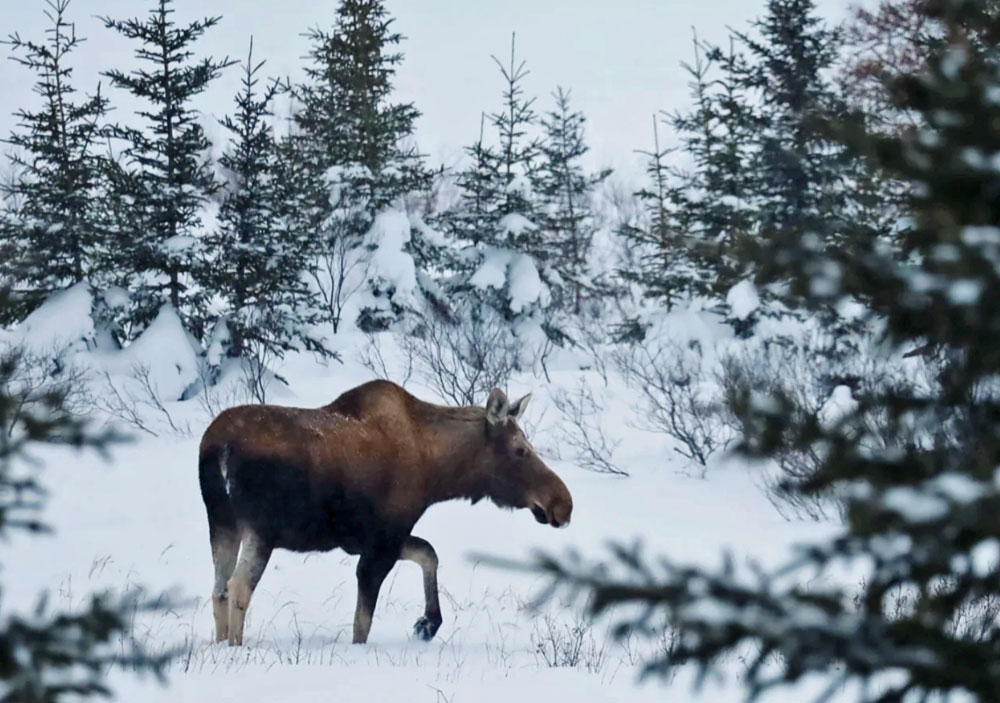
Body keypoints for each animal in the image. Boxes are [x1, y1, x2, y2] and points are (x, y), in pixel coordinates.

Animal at [198, 380, 573, 646]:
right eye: (521, 450)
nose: (563, 503)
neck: (438, 473)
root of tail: (217, 447)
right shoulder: (382, 542)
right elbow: (362, 623)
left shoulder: (374, 539)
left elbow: (428, 553)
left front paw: (427, 624)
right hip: (260, 528)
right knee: (239, 586)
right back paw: (238, 648)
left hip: (221, 523)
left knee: (218, 588)